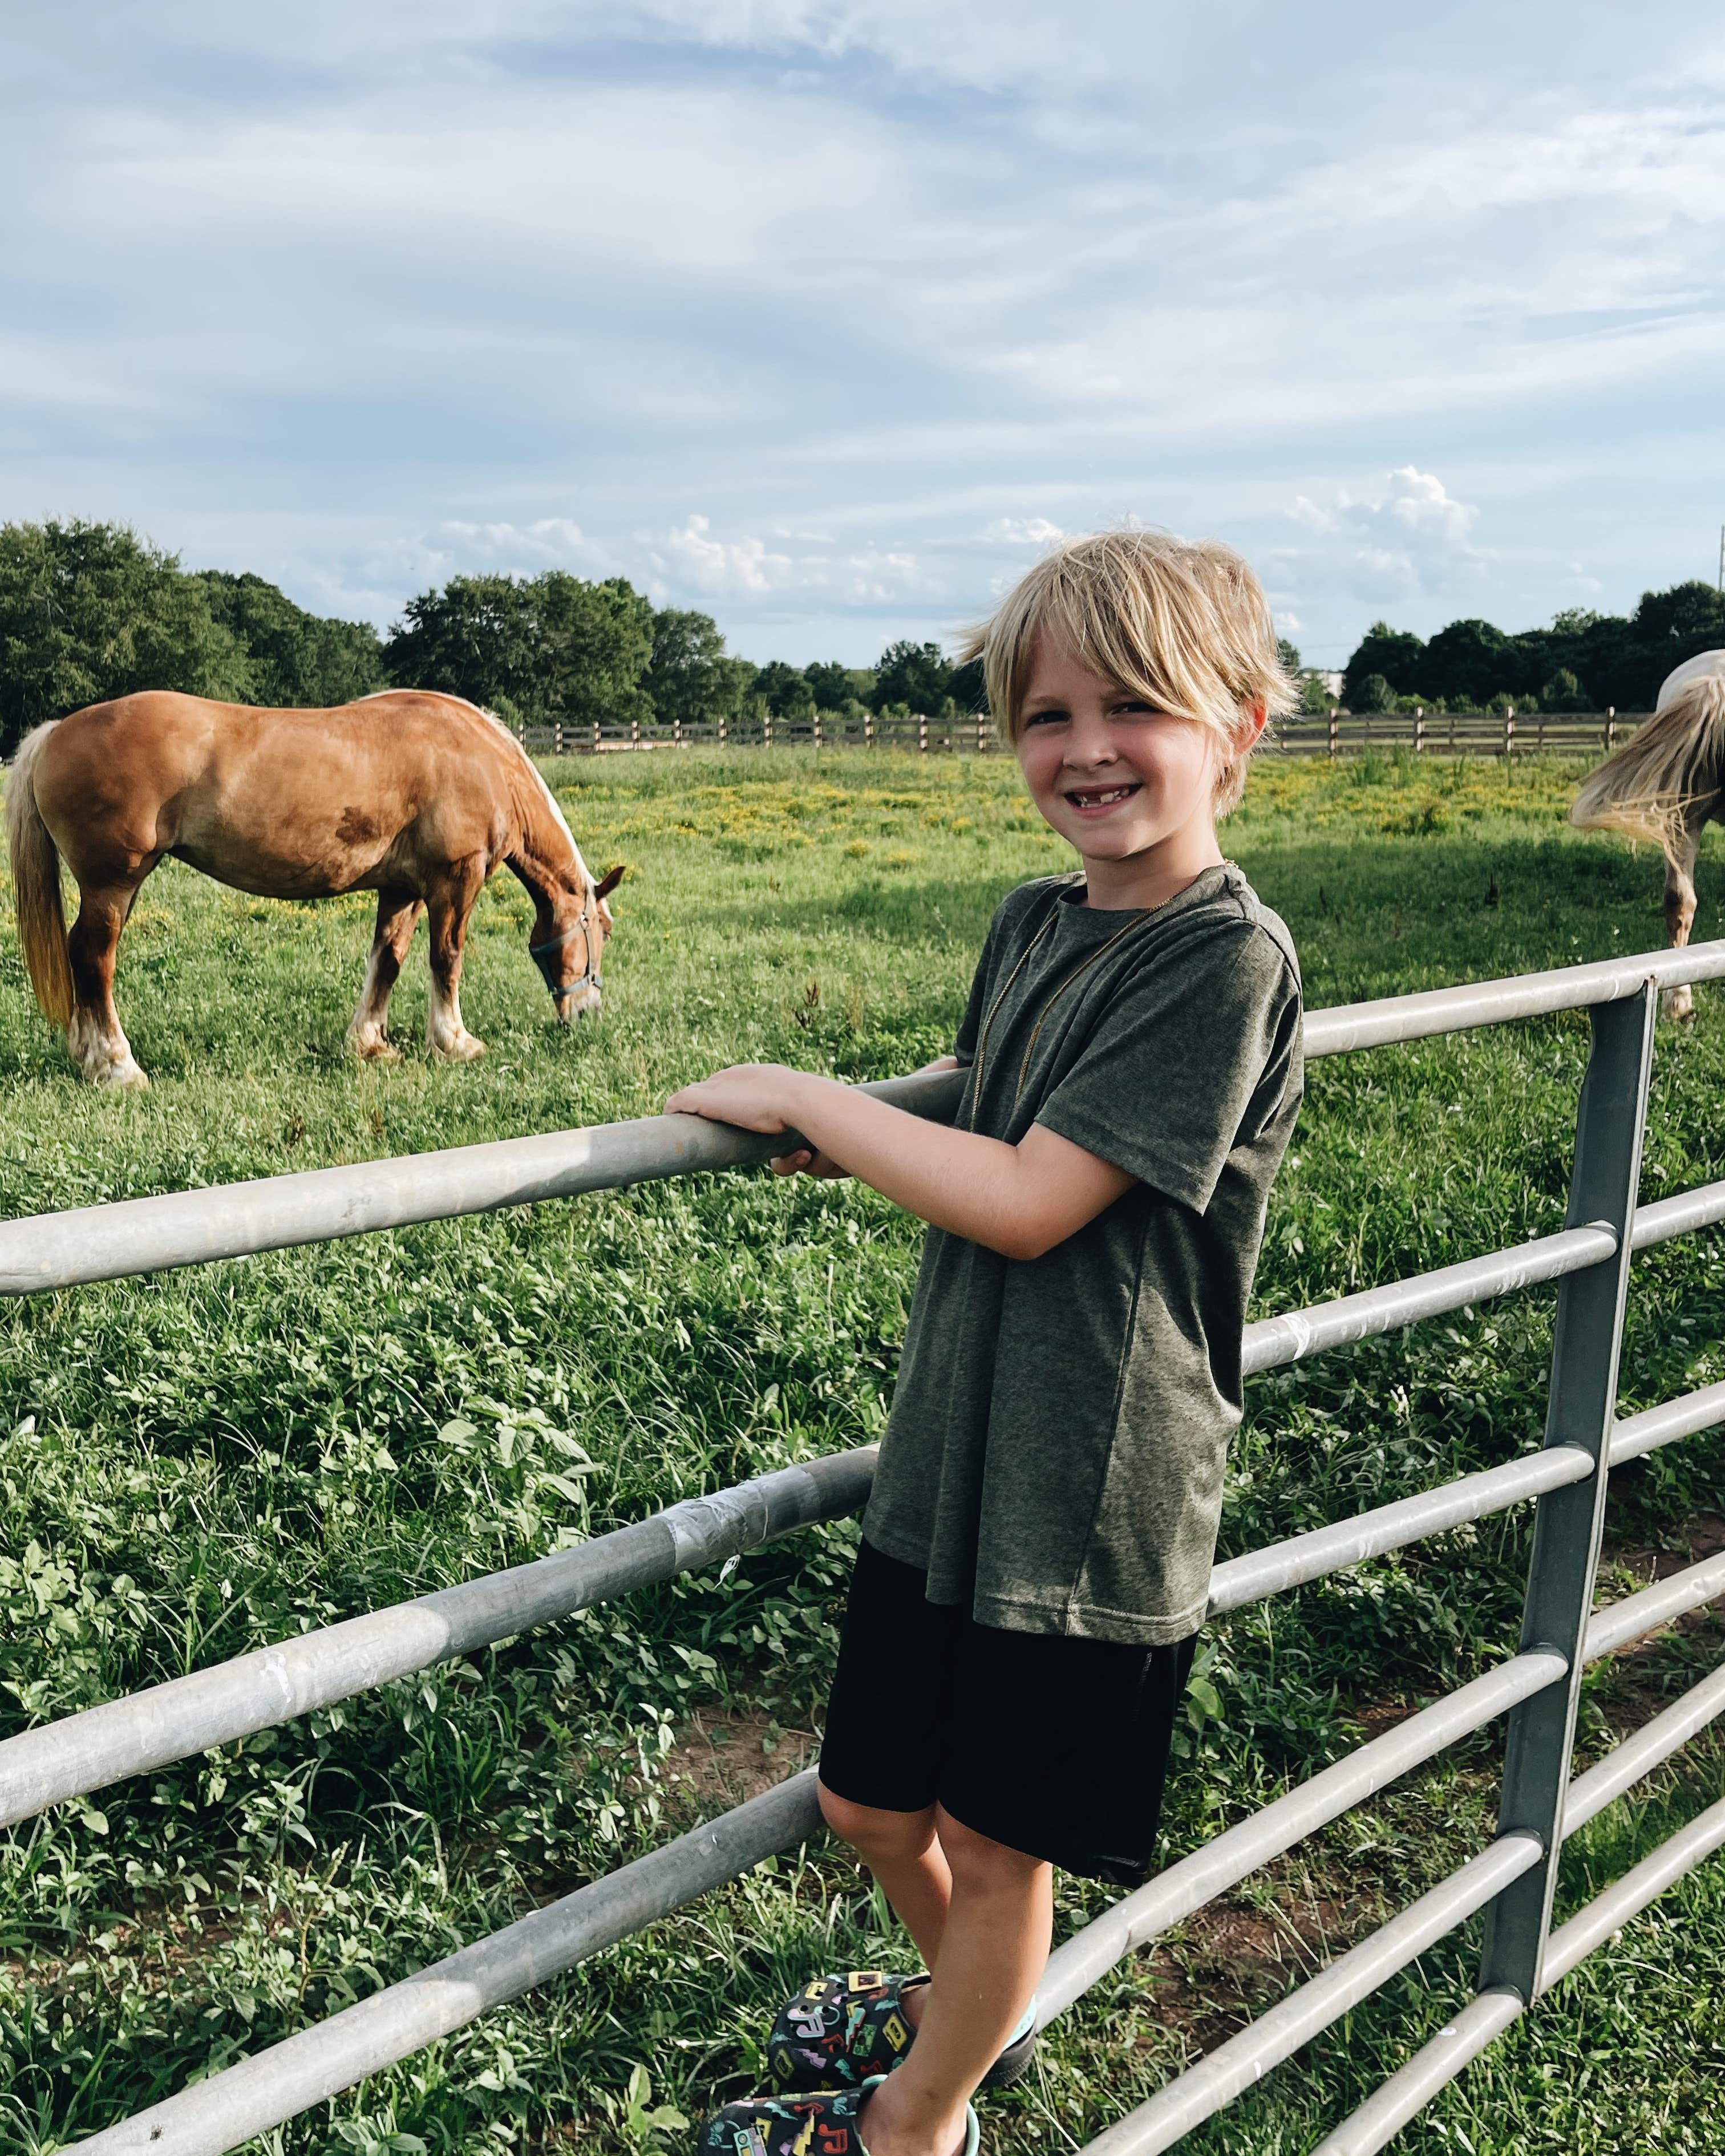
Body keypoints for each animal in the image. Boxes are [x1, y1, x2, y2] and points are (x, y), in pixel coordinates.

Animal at [5, 688, 622, 1087]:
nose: (588, 1014)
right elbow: (446, 959)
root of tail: (56, 732)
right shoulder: (454, 879)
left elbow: (388, 960)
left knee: (81, 958)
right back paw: (117, 1066)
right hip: (113, 884)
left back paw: (88, 1057)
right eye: (604, 931)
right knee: (95, 959)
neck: (484, 761)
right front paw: (455, 1042)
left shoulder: (402, 889)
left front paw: (371, 1044)